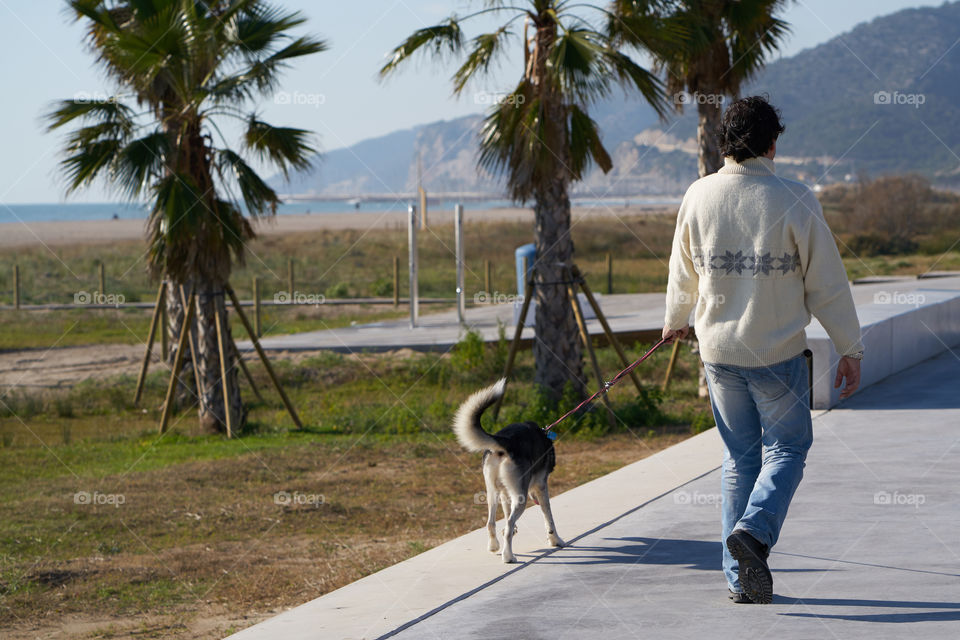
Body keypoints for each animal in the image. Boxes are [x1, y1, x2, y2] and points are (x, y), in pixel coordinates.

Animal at [452, 378, 564, 564]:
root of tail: (505, 441)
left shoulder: (505, 494)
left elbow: (505, 516)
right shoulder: (541, 487)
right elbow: (549, 518)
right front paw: (556, 540)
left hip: (492, 493)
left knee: (491, 523)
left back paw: (494, 546)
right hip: (520, 498)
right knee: (509, 523)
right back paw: (508, 556)